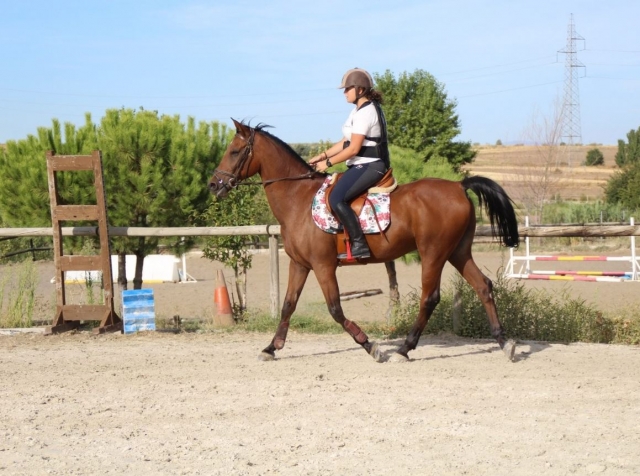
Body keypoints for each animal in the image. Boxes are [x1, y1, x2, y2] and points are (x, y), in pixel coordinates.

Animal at [209, 120, 520, 363]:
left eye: (234, 151)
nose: (213, 185)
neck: (298, 198)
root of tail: (458, 186)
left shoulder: (323, 266)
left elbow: (335, 309)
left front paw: (371, 346)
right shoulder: (300, 264)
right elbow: (288, 305)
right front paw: (271, 348)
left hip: (434, 253)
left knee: (430, 298)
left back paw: (404, 349)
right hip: (458, 251)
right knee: (483, 286)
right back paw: (505, 343)